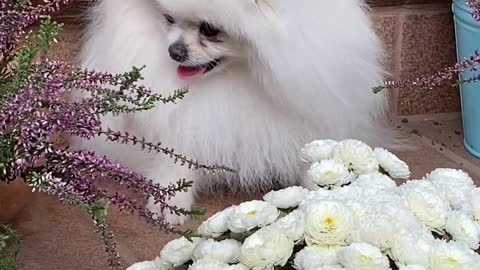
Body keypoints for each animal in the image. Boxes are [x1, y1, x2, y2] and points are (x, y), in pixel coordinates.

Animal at [73, 0, 392, 224]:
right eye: (168, 19)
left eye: (210, 29)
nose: (174, 51)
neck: (245, 74)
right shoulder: (186, 121)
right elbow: (175, 156)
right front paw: (170, 198)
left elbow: (309, 152)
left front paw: (322, 186)